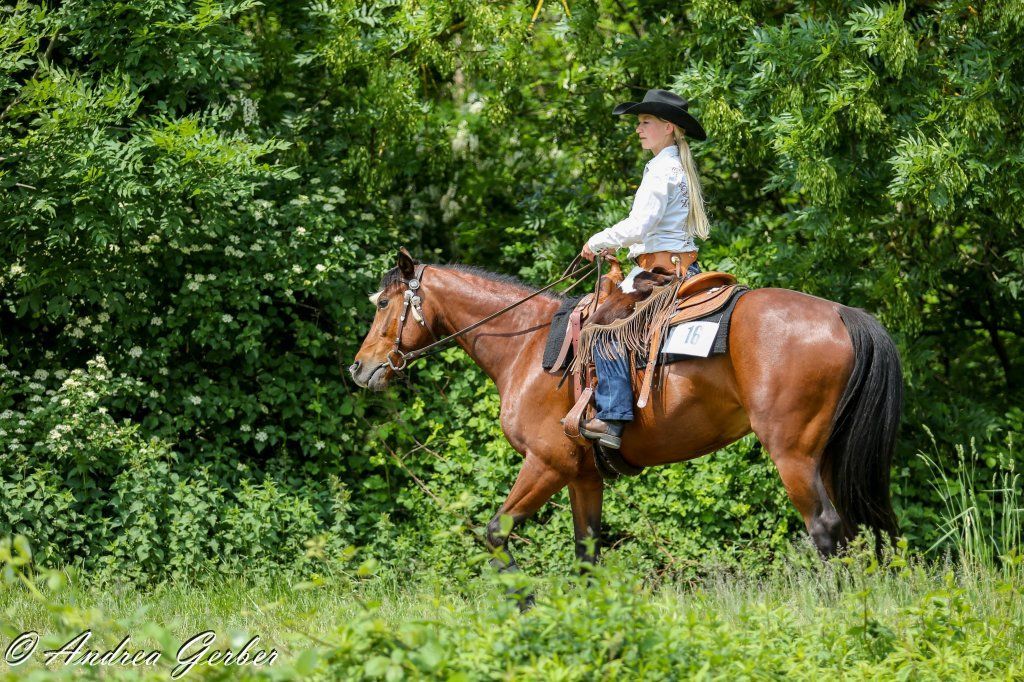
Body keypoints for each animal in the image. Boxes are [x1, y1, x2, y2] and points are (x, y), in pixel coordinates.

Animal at [349, 249, 902, 574]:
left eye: (382, 304)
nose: (360, 368)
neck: (527, 346)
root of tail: (843, 313)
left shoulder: (545, 463)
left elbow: (496, 532)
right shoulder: (581, 475)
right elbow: (586, 553)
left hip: (792, 454)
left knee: (826, 529)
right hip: (825, 455)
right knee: (853, 529)